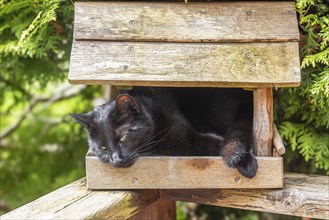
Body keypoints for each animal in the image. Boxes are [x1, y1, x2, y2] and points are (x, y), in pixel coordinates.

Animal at [71, 87, 256, 178]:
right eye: (102, 148)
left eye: (123, 138)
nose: (116, 160)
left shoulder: (191, 138)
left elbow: (218, 144)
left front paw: (246, 160)